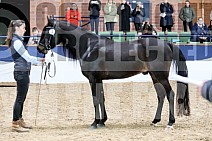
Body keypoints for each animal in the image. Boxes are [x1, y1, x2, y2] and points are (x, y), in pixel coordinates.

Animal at [37, 17, 190, 129]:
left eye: (46, 31)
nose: (40, 48)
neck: (90, 46)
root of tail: (167, 44)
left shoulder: (92, 79)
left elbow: (95, 99)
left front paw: (95, 122)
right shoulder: (99, 79)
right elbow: (101, 98)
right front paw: (102, 121)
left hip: (161, 76)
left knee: (170, 94)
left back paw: (170, 122)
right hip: (154, 76)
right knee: (161, 95)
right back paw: (155, 120)